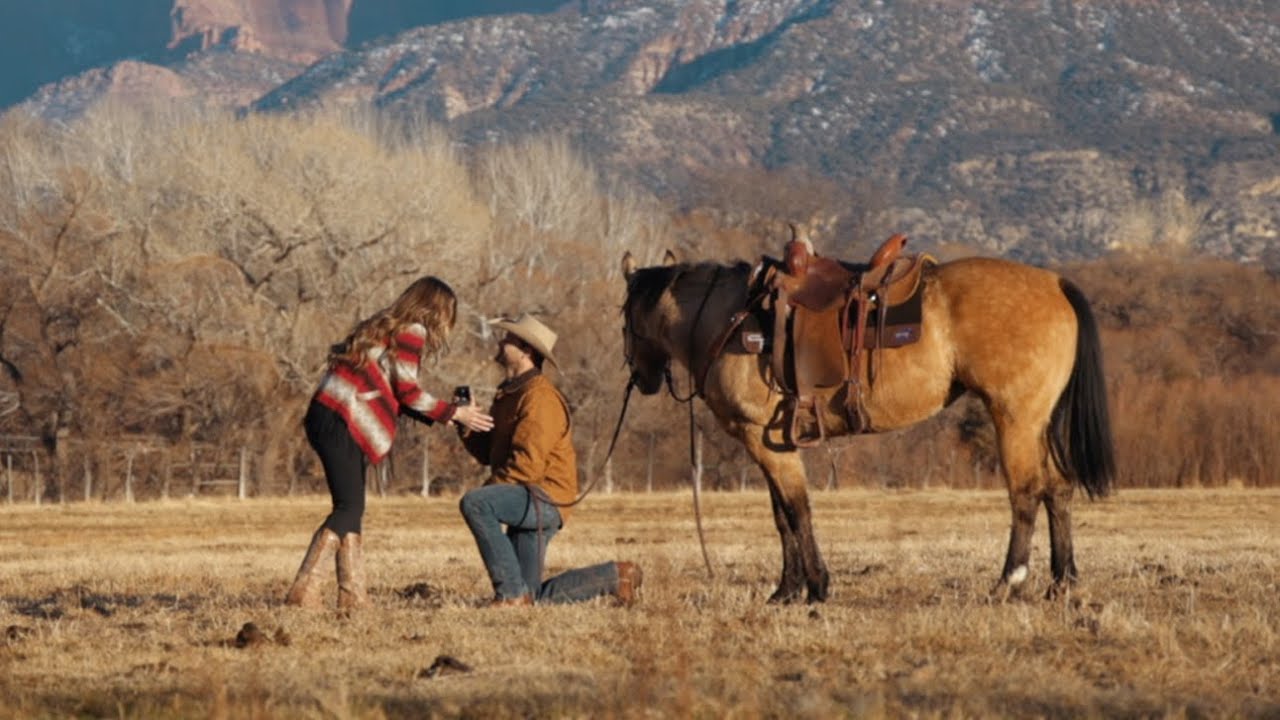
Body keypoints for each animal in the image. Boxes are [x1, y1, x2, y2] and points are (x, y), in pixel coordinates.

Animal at [620, 248, 1115, 603]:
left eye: (623, 316)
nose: (642, 379)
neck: (730, 319)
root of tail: (1055, 282)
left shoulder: (763, 439)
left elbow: (797, 511)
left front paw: (816, 586)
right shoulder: (770, 444)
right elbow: (781, 516)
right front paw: (785, 590)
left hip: (1014, 419)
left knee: (1026, 494)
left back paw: (1008, 582)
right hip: (1037, 423)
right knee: (1058, 489)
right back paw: (1061, 583)